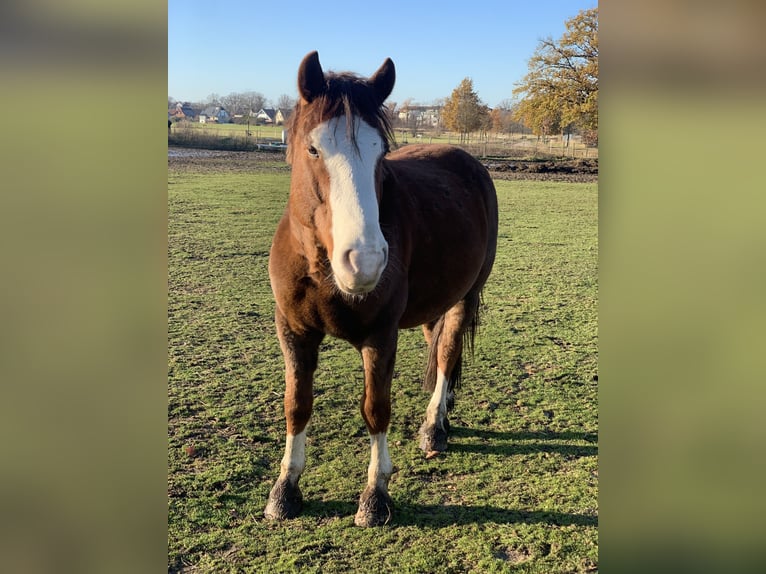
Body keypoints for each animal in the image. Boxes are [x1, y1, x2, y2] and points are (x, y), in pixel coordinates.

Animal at [265, 51, 498, 527]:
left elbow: (376, 409)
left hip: (464, 298)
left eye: (382, 151)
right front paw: (285, 489)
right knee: (440, 347)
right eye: (313, 148)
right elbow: (297, 405)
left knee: (447, 352)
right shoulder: (294, 332)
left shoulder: (380, 337)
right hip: (435, 301)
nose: (365, 261)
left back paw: (434, 427)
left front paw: (375, 495)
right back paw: (444, 411)